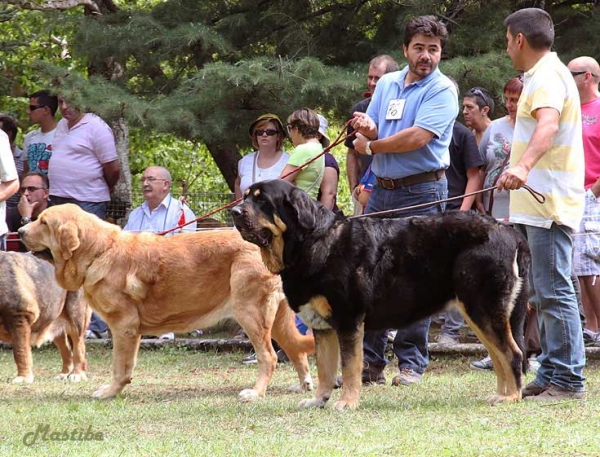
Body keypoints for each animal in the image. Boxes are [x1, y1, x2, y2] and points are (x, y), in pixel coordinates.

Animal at [0, 251, 89, 382]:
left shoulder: (18, 315)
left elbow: (20, 351)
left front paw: (23, 378)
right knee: (66, 348)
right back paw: (63, 374)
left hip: (76, 314)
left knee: (78, 346)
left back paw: (76, 374)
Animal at [231, 178, 528, 410]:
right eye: (246, 196)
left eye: (262, 200)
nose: (234, 211)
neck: (311, 244)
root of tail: (508, 230)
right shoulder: (323, 326)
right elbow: (325, 370)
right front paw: (318, 400)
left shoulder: (348, 320)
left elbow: (350, 367)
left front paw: (347, 402)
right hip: (479, 312)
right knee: (500, 356)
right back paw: (501, 394)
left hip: (483, 309)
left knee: (512, 353)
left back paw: (511, 396)